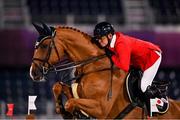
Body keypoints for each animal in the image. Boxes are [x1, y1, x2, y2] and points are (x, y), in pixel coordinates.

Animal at [29, 23, 180, 118]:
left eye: (44, 46)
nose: (33, 72)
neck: (94, 67)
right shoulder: (78, 94)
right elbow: (57, 87)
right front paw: (61, 109)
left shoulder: (100, 109)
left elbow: (70, 103)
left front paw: (72, 113)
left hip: (155, 57)